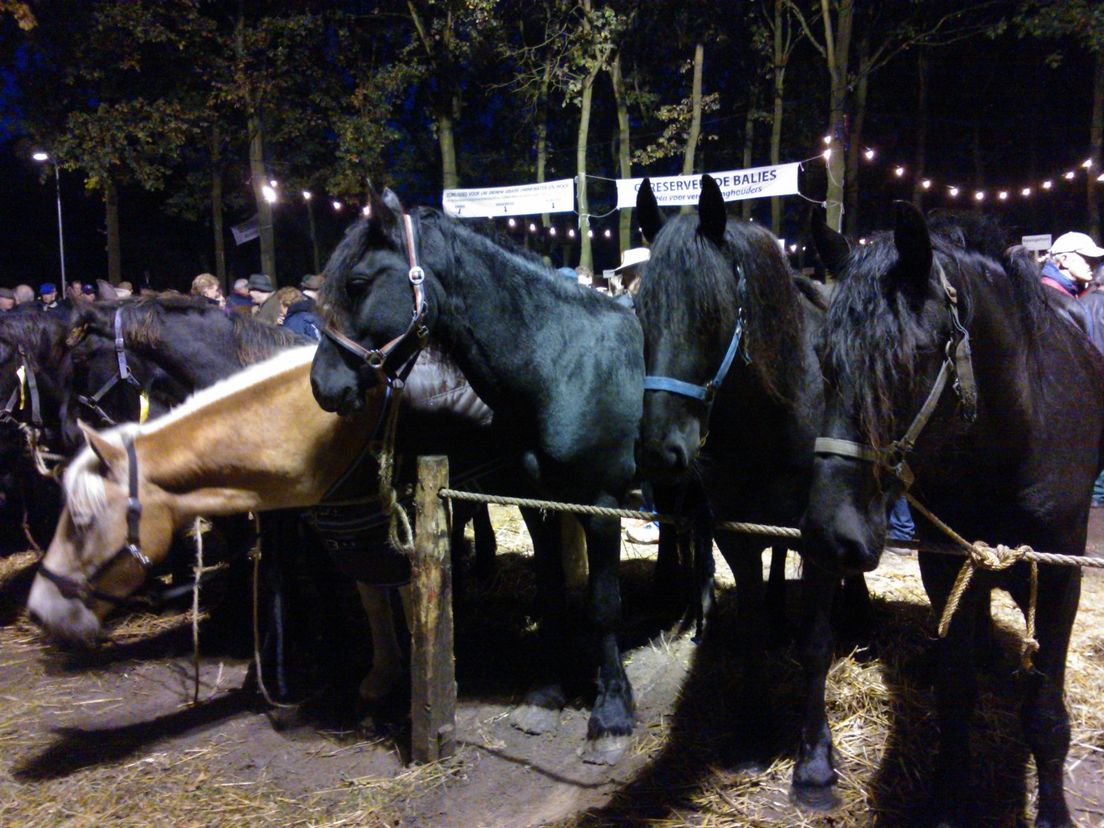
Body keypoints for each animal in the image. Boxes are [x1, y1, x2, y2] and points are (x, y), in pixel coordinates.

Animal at [803, 203, 1104, 828]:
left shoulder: (1058, 576)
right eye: (823, 359)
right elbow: (955, 696)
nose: (828, 533)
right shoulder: (948, 564)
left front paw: (1053, 812)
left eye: (910, 361)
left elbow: (1046, 715)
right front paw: (947, 800)